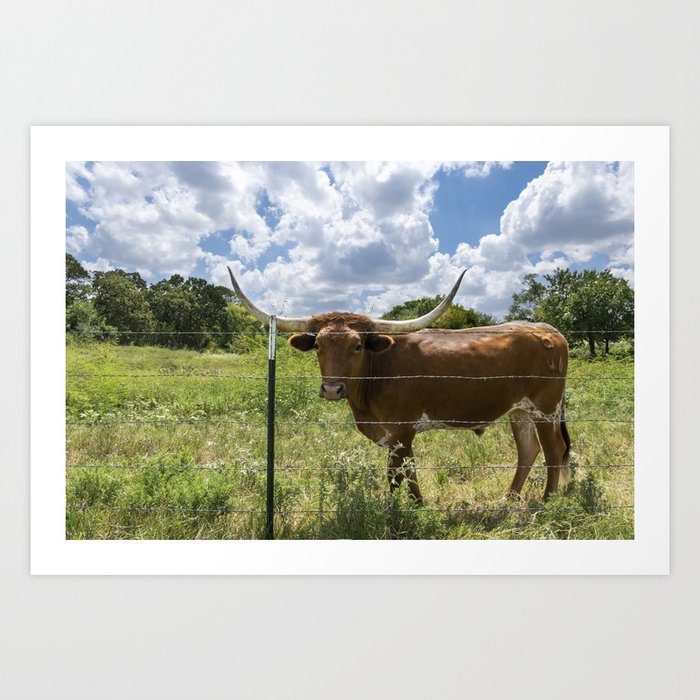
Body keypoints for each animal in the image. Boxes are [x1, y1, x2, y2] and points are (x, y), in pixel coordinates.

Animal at [228, 268, 571, 504]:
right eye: (318, 347)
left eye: (357, 346)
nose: (332, 390)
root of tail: (548, 329)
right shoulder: (395, 434)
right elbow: (409, 470)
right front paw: (417, 506)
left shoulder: (402, 429)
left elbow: (396, 473)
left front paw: (394, 510)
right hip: (520, 410)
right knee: (528, 450)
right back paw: (508, 498)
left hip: (546, 409)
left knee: (553, 450)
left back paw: (547, 501)